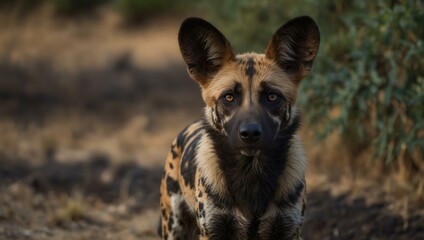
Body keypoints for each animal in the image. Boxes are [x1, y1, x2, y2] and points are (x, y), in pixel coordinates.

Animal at [161, 15, 320, 239]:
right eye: (229, 97)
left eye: (272, 97)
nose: (250, 133)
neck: (252, 173)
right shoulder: (213, 230)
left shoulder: (288, 230)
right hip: (174, 226)